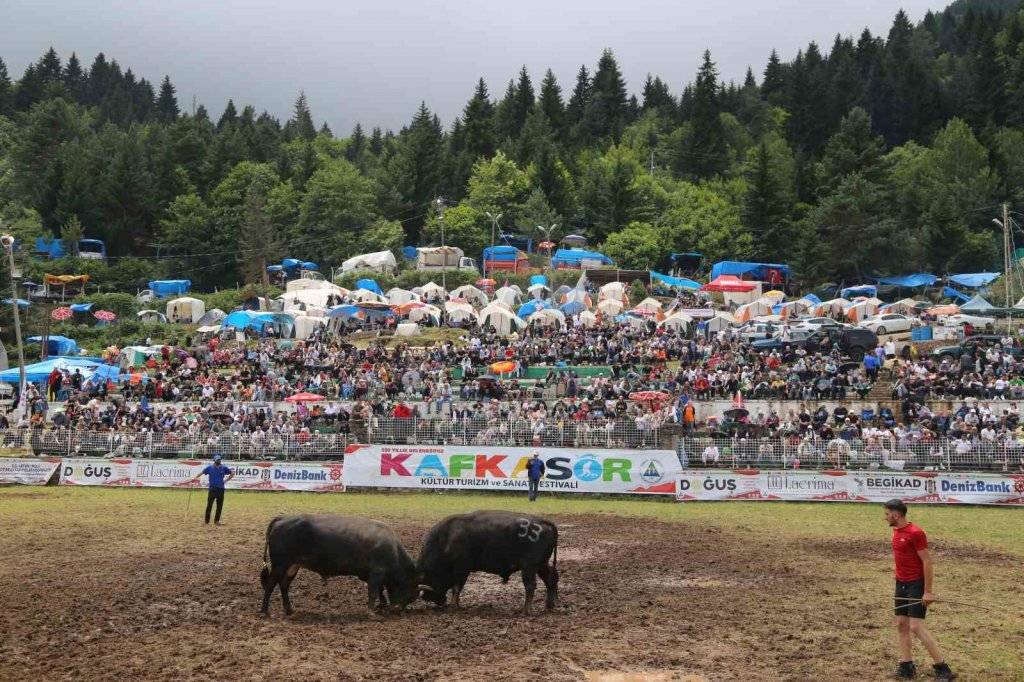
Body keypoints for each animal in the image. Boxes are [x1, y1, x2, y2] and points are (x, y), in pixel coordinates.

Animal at [260, 512, 419, 614]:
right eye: (410, 594)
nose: (398, 610)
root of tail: (284, 518)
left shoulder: (372, 574)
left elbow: (379, 590)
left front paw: (382, 605)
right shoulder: (377, 572)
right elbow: (373, 592)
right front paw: (371, 612)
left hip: (292, 566)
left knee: (284, 585)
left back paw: (289, 610)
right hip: (280, 565)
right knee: (270, 585)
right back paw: (264, 611)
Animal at [415, 507, 561, 614]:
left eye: (428, 578)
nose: (430, 598)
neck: (448, 537)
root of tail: (543, 522)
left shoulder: (461, 570)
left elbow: (456, 587)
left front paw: (453, 605)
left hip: (529, 567)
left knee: (530, 586)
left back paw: (526, 611)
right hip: (541, 565)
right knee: (551, 578)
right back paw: (549, 605)